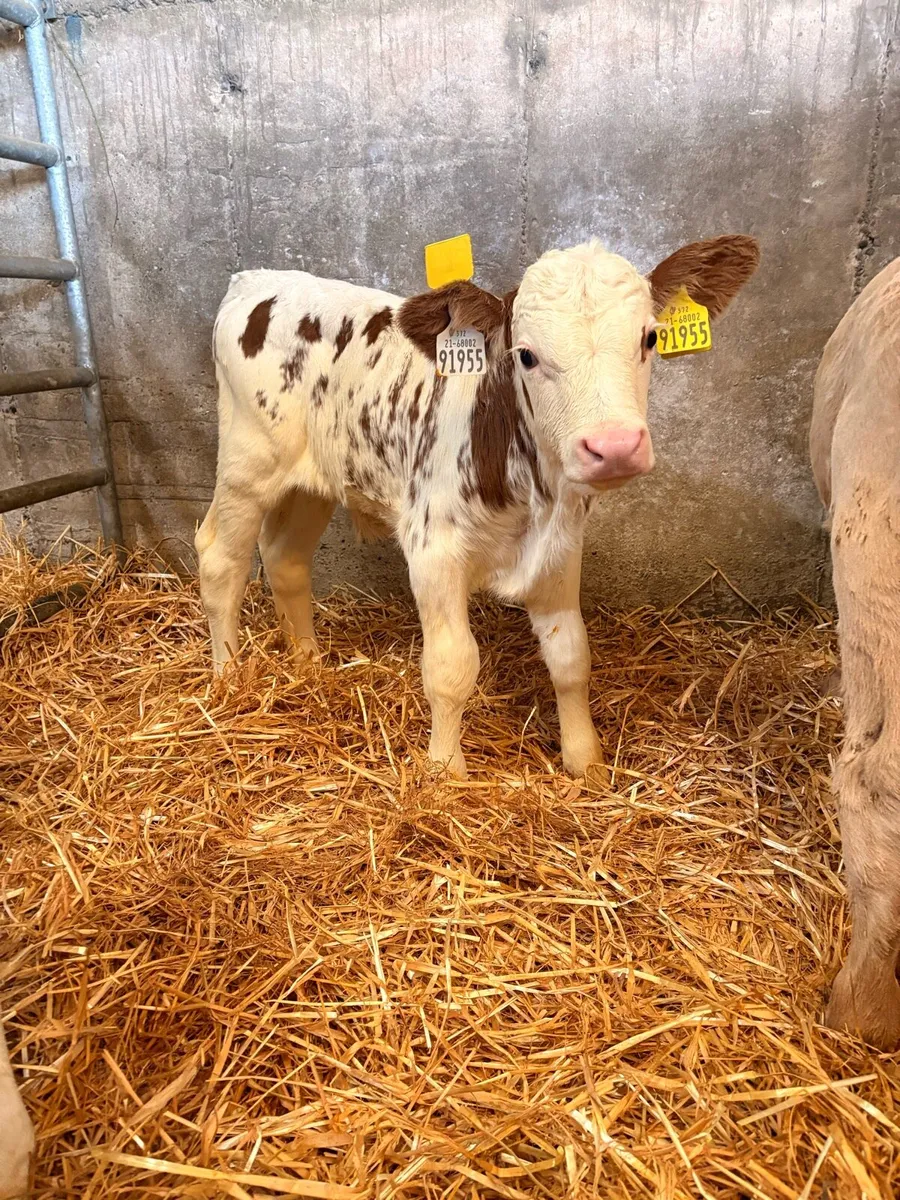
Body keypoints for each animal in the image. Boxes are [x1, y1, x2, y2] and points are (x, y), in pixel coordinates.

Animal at [197, 236, 759, 780]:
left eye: (650, 338)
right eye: (526, 355)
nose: (615, 445)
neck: (529, 498)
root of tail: (256, 278)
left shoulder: (561, 550)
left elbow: (571, 657)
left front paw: (587, 763)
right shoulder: (432, 550)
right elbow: (451, 667)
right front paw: (446, 772)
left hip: (314, 479)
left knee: (285, 557)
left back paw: (308, 665)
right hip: (247, 463)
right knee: (220, 559)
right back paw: (229, 679)